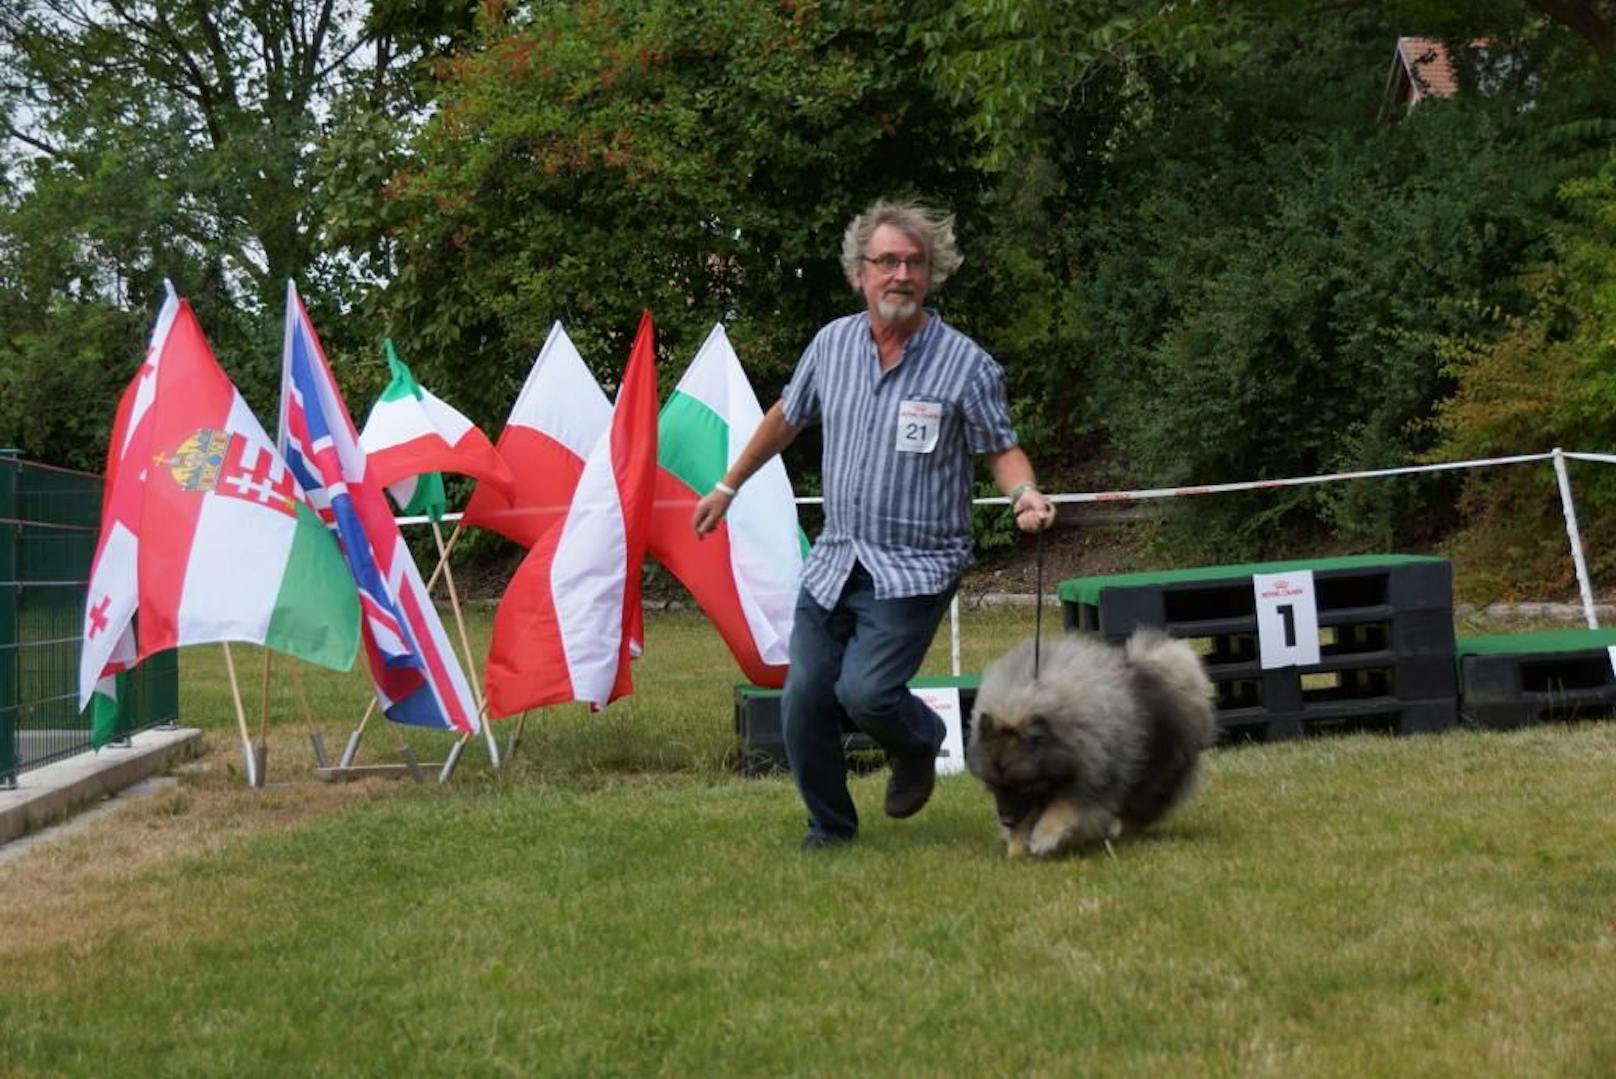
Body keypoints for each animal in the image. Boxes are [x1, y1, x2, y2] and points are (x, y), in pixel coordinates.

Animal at [956, 626, 1215, 852]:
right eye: (994, 785)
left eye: (1024, 784)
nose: (1006, 820)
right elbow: (1028, 817)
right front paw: (1016, 848)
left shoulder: (1091, 777)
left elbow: (1064, 807)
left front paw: (1043, 837)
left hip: (1155, 773)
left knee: (1142, 807)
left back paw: (1123, 834)